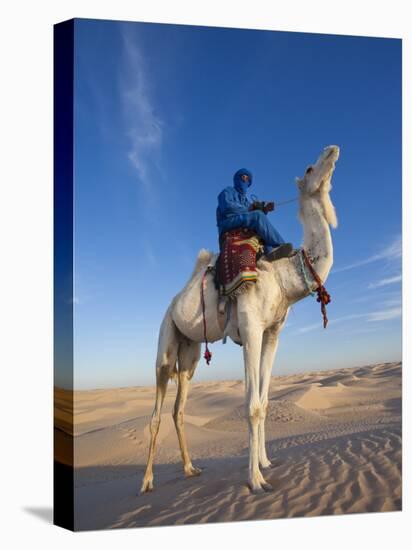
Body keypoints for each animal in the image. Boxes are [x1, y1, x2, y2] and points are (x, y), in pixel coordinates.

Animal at [140, 143, 340, 496]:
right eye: (309, 168)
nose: (332, 149)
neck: (283, 276)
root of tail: (173, 302)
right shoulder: (250, 329)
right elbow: (252, 406)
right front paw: (256, 480)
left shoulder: (271, 333)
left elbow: (264, 402)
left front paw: (266, 463)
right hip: (166, 339)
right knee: (156, 409)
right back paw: (147, 481)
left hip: (189, 353)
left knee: (179, 408)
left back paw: (190, 468)